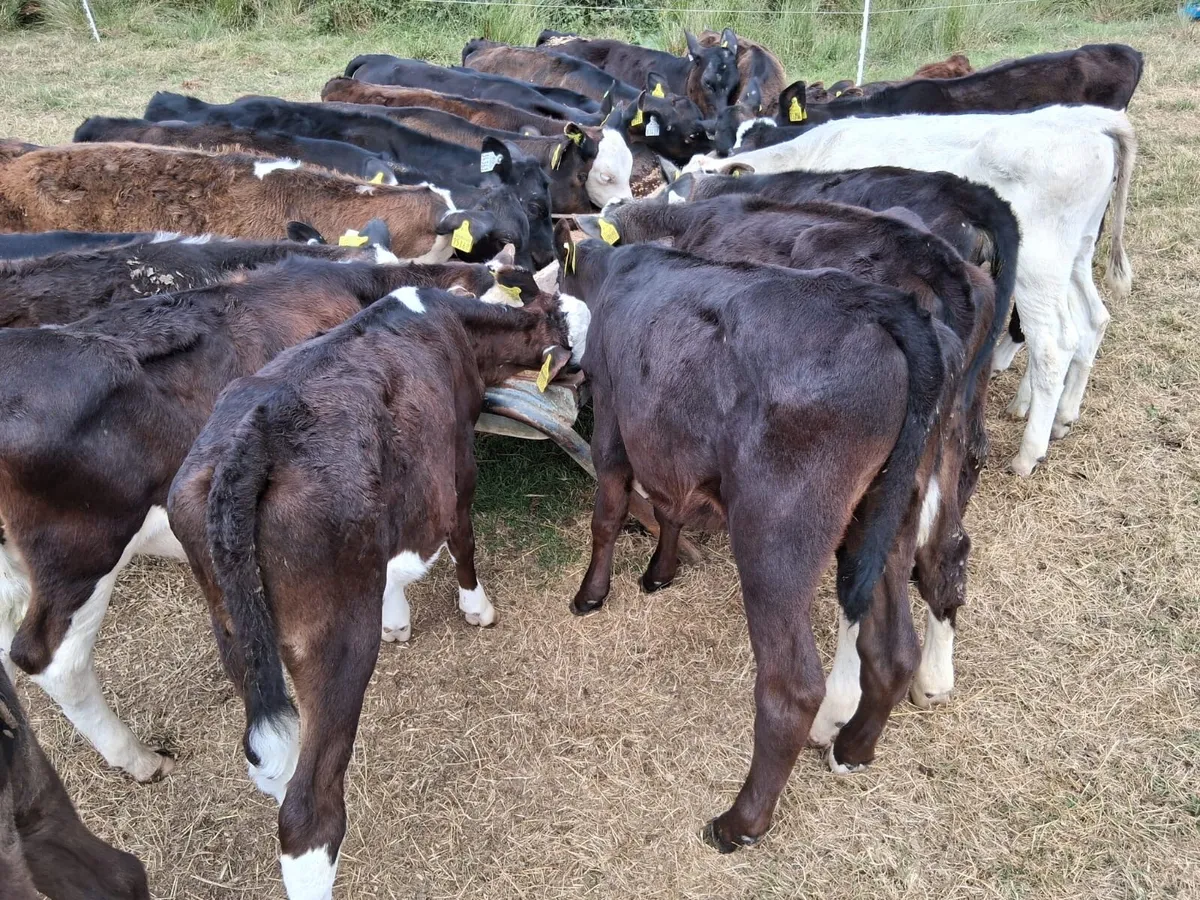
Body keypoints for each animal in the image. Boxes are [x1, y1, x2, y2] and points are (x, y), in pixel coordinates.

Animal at [167, 287, 588, 900]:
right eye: (570, 340)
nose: (585, 377)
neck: (450, 317)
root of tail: (255, 438)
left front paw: (397, 617)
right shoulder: (458, 457)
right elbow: (463, 535)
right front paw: (475, 607)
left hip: (234, 630)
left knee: (274, 763)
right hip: (336, 639)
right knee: (310, 812)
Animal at [554, 229, 949, 852]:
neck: (621, 268)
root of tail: (883, 305)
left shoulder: (616, 417)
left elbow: (610, 511)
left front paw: (592, 594)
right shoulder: (670, 441)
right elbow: (668, 507)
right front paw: (659, 573)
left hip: (775, 534)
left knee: (792, 686)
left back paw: (739, 823)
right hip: (891, 514)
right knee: (892, 649)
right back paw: (852, 751)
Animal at [687, 103, 1136, 476]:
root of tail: (1093, 121)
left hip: (1040, 266)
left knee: (1053, 344)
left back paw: (1028, 454)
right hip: (1075, 254)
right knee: (1092, 320)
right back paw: (1061, 416)